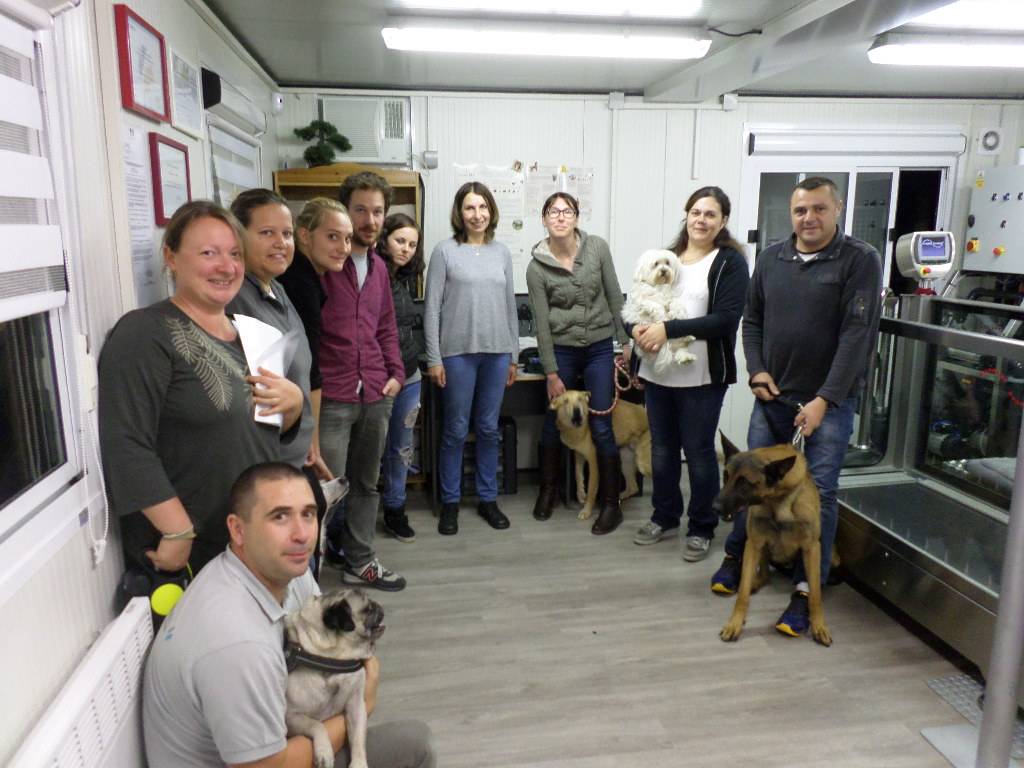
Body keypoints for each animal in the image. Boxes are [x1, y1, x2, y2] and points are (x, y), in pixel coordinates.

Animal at [284, 593, 385, 765]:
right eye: (368, 609)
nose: (379, 605)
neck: (334, 659)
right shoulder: (291, 717)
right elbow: (317, 724)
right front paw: (324, 752)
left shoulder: (356, 706)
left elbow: (357, 739)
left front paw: (358, 763)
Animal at [548, 391, 651, 524]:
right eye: (565, 401)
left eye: (580, 399)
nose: (577, 410)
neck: (580, 430)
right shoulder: (579, 455)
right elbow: (578, 475)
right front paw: (581, 494)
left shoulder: (593, 462)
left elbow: (592, 489)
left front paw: (586, 511)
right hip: (625, 460)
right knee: (633, 487)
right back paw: (617, 499)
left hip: (643, 463)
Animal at [712, 436, 831, 647]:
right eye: (725, 476)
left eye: (744, 483)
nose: (714, 507)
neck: (777, 501)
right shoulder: (754, 543)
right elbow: (742, 594)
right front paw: (734, 623)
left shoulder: (812, 548)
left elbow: (815, 594)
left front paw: (819, 625)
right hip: (761, 548)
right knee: (763, 575)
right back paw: (754, 582)